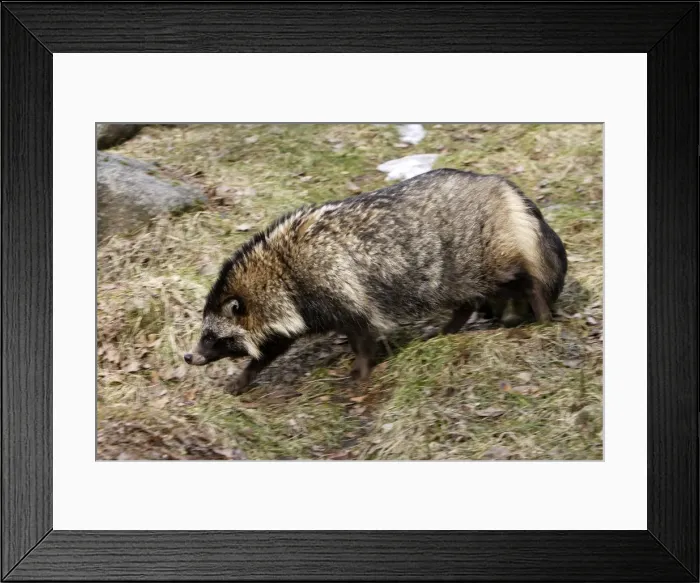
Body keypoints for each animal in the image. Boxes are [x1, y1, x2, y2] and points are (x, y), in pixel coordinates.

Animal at [184, 169, 567, 394]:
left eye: (211, 336)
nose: (189, 357)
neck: (281, 271)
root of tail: (504, 188)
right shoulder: (301, 310)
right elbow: (273, 347)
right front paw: (246, 375)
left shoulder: (337, 286)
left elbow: (363, 332)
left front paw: (362, 369)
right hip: (456, 272)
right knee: (469, 297)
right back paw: (454, 325)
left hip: (481, 253)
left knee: (519, 278)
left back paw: (537, 306)